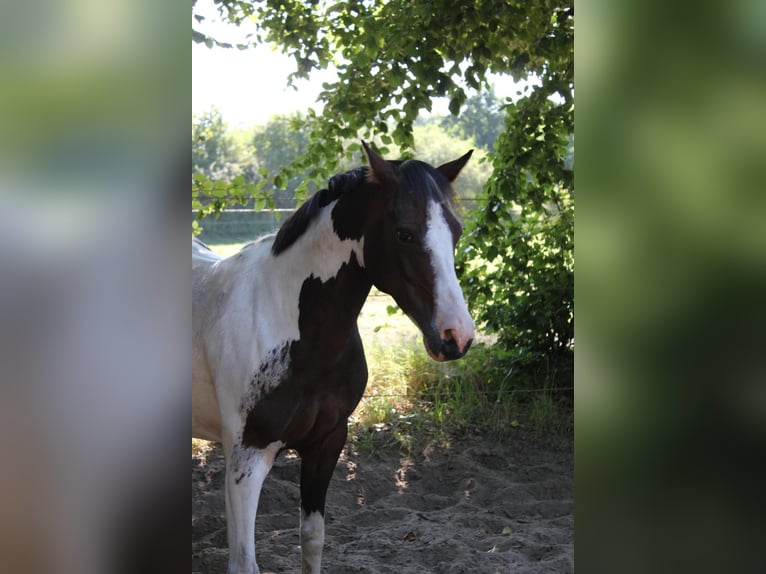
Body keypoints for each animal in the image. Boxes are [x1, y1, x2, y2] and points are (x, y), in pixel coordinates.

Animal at [192, 141, 475, 574]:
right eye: (404, 233)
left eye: (456, 232)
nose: (456, 335)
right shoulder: (246, 459)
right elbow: (244, 564)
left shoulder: (327, 443)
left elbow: (312, 540)